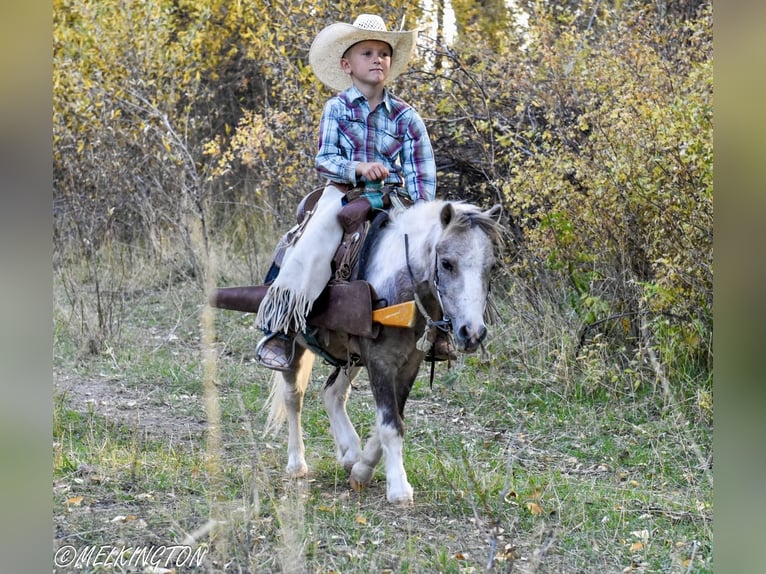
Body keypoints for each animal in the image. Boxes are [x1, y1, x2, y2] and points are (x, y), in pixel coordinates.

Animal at [264, 200, 504, 506]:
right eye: (447, 263)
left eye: (491, 266)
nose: (471, 333)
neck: (399, 290)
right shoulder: (380, 362)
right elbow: (390, 424)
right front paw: (399, 489)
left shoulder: (408, 365)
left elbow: (391, 420)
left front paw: (361, 469)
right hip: (295, 344)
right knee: (293, 398)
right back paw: (296, 463)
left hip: (351, 357)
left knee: (333, 394)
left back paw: (350, 452)